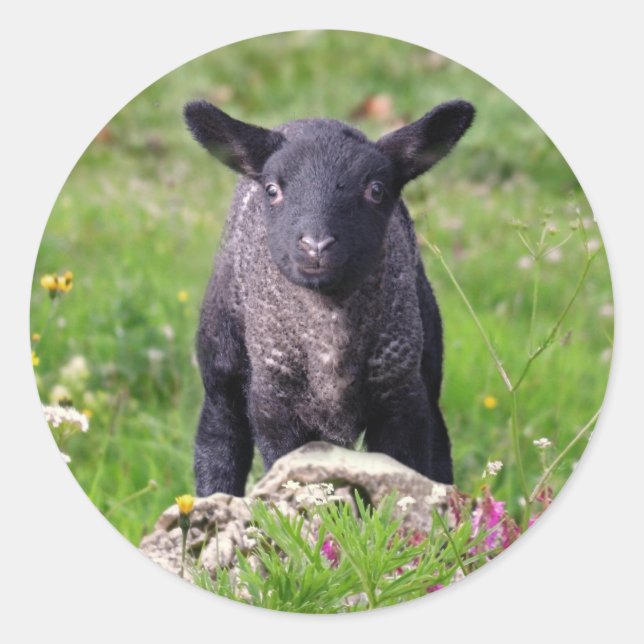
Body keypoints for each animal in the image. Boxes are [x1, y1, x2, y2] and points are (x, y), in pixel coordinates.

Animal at [184, 98, 475, 497]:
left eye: (376, 190)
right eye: (272, 190)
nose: (316, 245)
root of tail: (311, 119)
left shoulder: (401, 399)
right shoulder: (274, 406)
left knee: (439, 449)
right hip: (222, 358)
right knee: (219, 435)